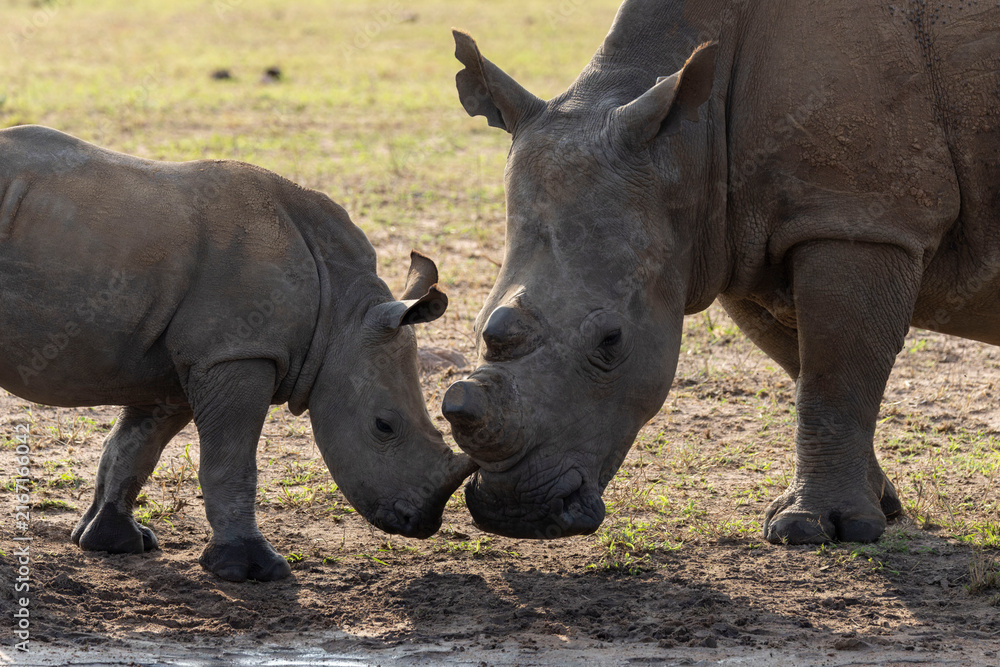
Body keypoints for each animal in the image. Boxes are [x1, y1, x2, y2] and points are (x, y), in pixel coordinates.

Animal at [0, 124, 476, 581]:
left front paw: (114, 541)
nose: (423, 522)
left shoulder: (186, 361)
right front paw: (252, 570)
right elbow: (231, 461)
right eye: (383, 426)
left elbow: (134, 446)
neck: (339, 316)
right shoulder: (238, 352)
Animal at [443, 0, 1000, 544]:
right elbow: (809, 369)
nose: (512, 513)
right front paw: (878, 508)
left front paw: (817, 529)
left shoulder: (858, 219)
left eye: (611, 341)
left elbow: (833, 374)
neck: (687, 144)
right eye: (477, 324)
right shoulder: (738, 241)